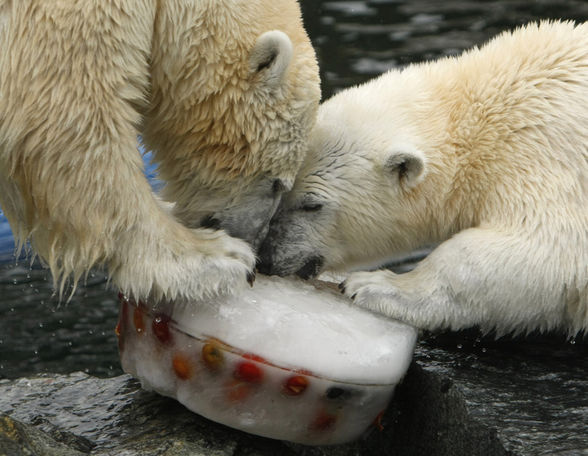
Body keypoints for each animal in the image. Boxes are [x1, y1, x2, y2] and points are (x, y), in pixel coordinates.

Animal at [260, 20, 588, 334]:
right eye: (280, 191)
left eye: (311, 204)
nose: (266, 256)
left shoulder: (542, 152)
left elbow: (548, 249)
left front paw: (374, 286)